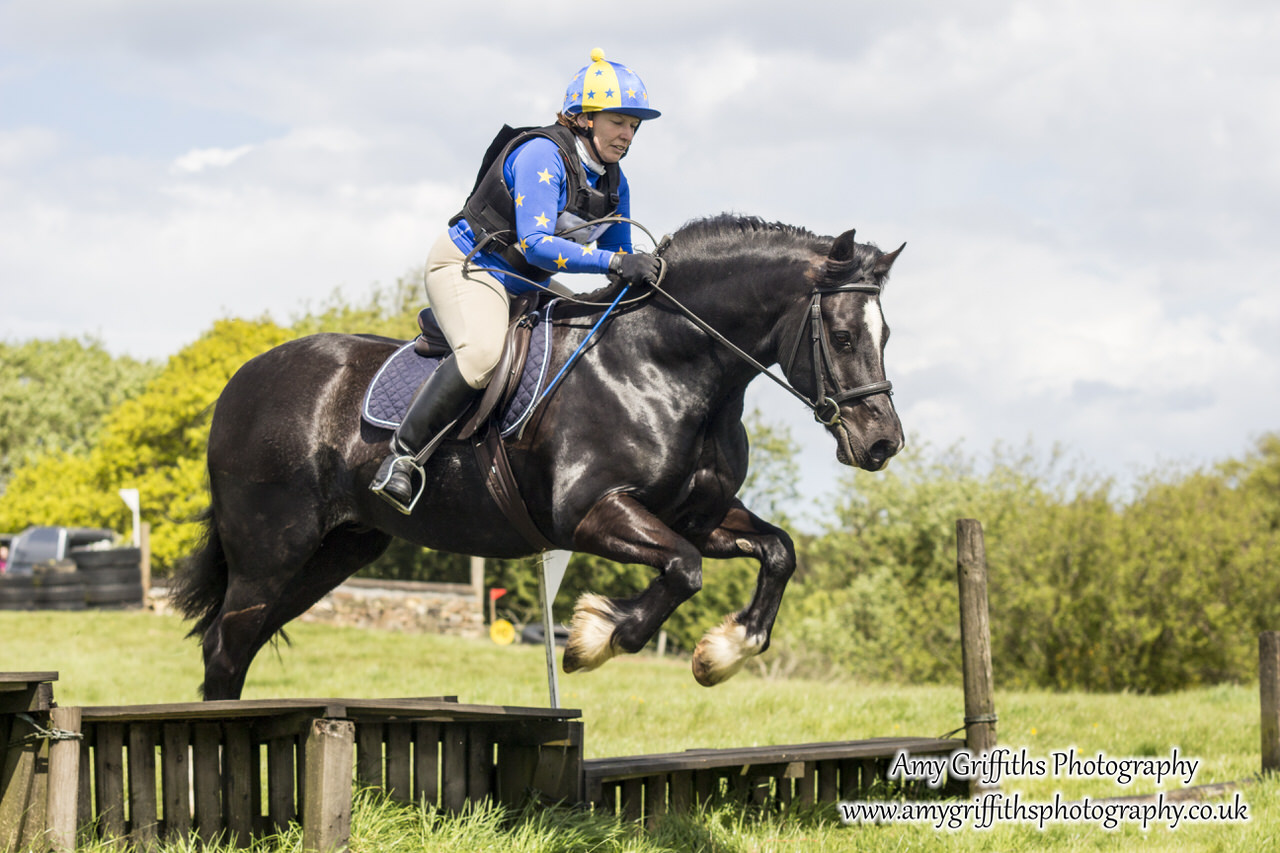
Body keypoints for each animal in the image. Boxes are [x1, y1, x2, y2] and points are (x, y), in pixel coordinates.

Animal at [175, 212, 906, 696]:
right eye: (843, 337)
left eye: (886, 334)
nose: (881, 443)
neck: (670, 367)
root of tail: (239, 381)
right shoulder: (588, 514)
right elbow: (683, 568)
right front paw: (595, 637)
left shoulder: (699, 514)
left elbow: (777, 551)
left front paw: (723, 651)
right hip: (271, 549)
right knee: (225, 645)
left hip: (336, 550)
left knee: (241, 643)